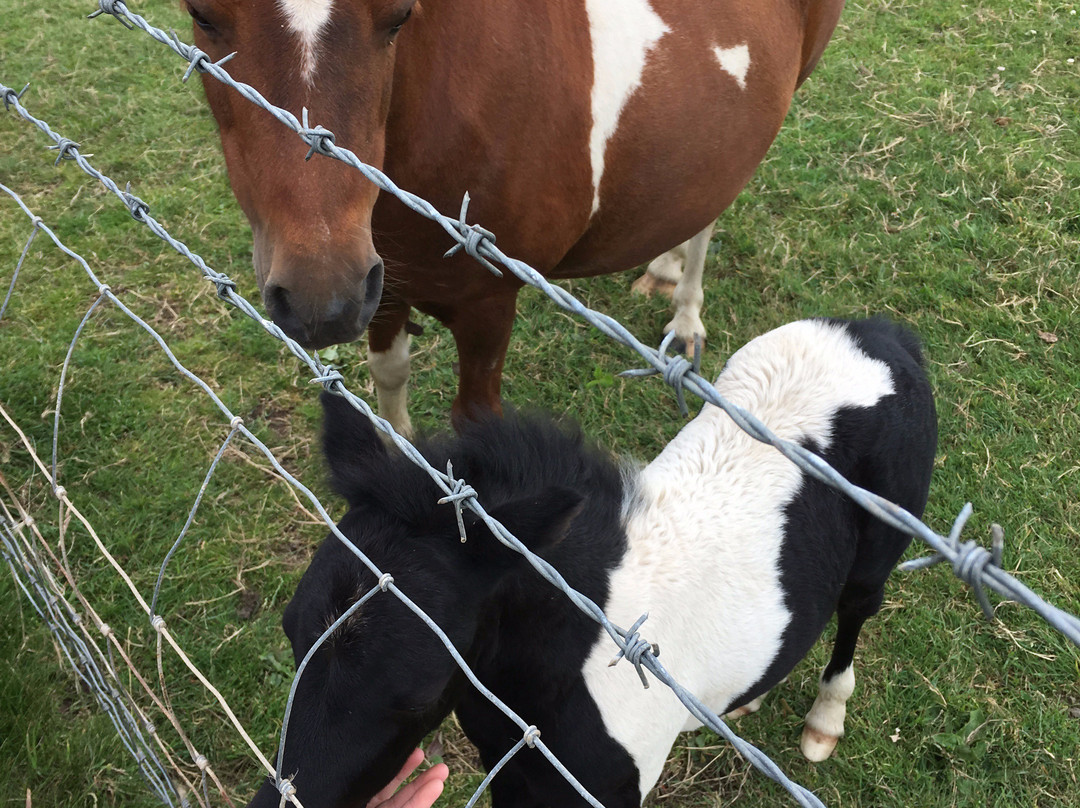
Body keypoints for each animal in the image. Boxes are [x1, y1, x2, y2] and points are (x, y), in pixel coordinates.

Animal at [183, 0, 842, 432]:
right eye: (202, 13)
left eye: (399, 14)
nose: (320, 297)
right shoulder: (384, 283)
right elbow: (389, 380)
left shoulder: (489, 302)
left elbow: (476, 423)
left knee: (711, 209)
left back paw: (685, 319)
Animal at [250, 315, 937, 808]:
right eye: (290, 634)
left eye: (417, 695)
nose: (276, 801)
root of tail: (882, 334)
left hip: (879, 552)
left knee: (856, 611)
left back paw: (825, 721)